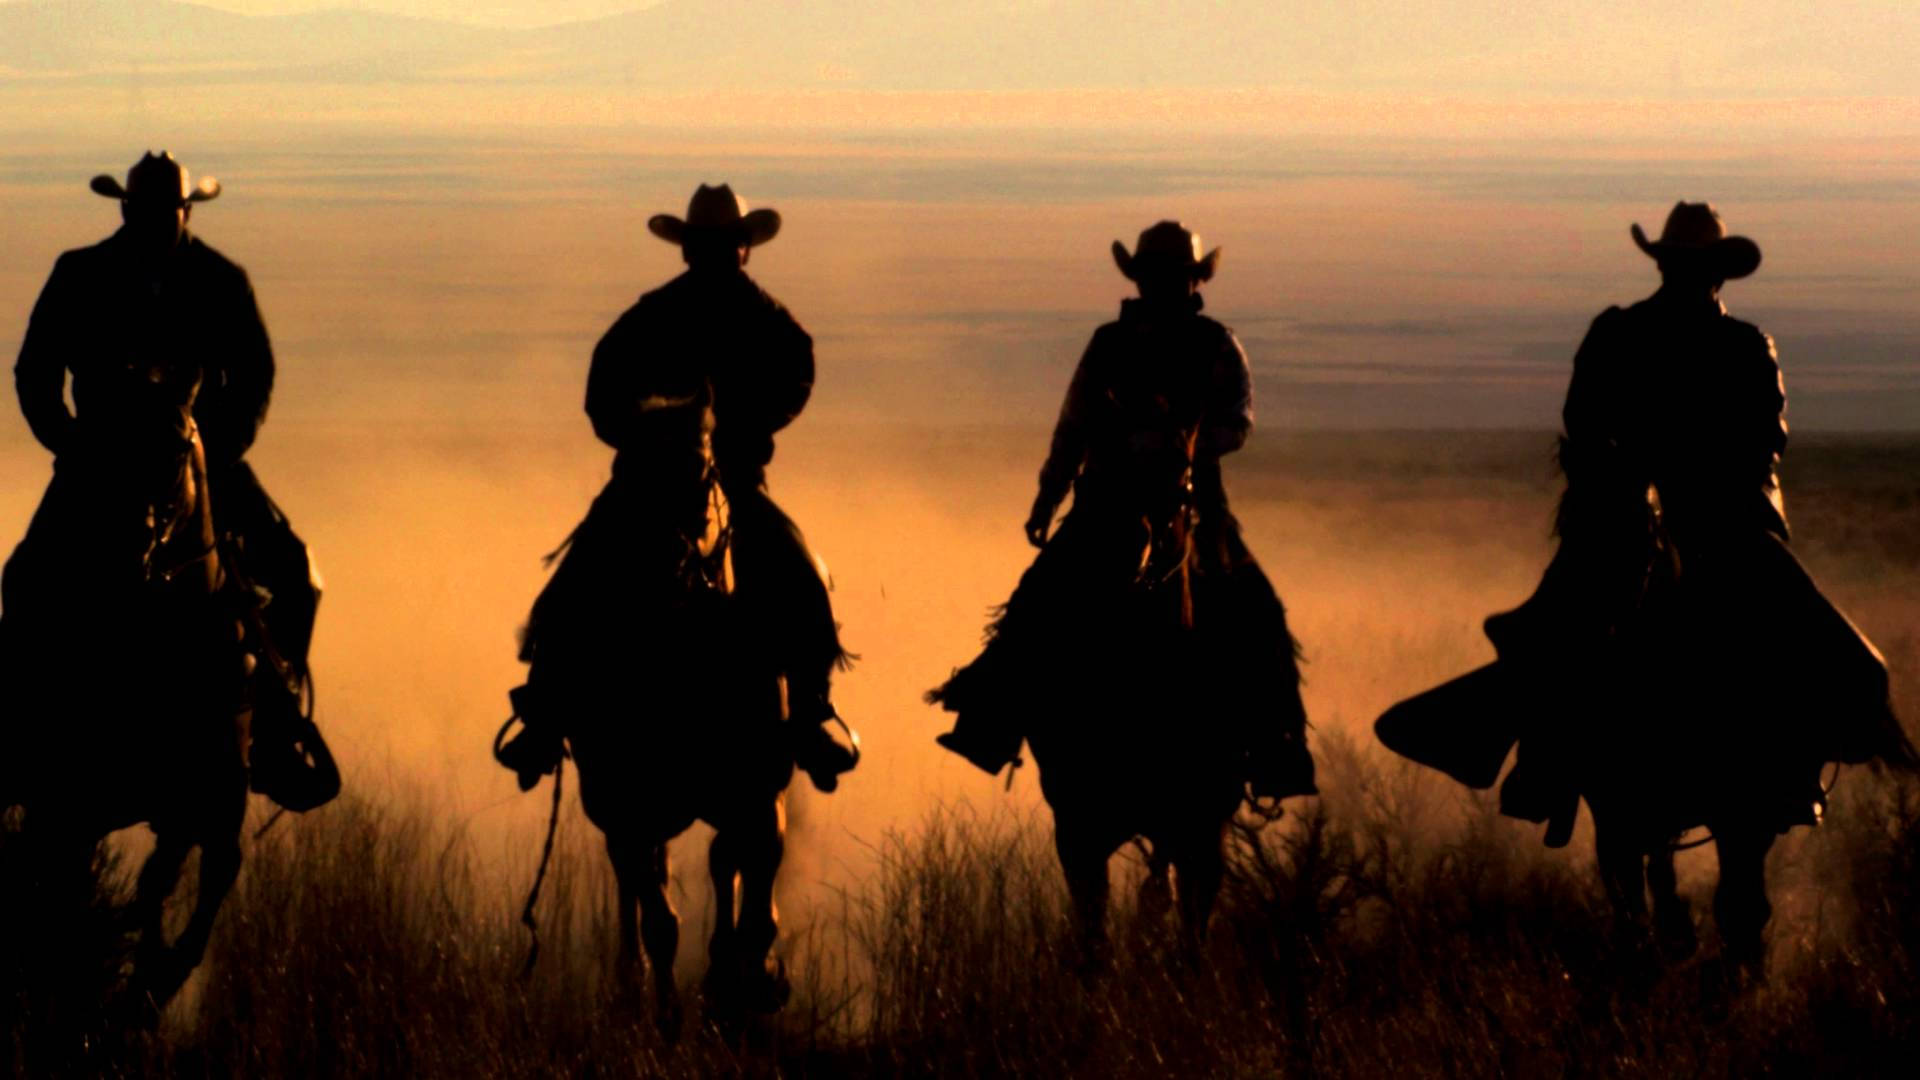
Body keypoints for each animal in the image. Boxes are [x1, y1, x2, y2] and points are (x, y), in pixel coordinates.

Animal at [0, 357, 251, 1006]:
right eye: (100, 440)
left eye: (180, 442)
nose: (132, 540)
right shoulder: (69, 804)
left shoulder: (209, 799)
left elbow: (185, 883)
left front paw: (152, 982)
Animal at [510, 388, 794, 1037]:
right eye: (627, 470)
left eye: (704, 468)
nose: (669, 558)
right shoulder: (627, 805)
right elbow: (660, 918)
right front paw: (667, 1016)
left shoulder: (756, 792)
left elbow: (750, 882)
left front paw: (752, 980)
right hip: (619, 810)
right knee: (636, 889)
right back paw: (632, 989)